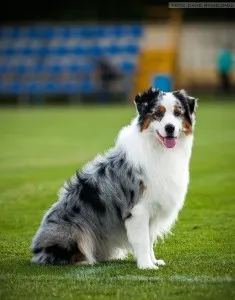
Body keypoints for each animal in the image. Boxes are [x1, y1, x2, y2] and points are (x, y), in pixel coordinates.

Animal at [30, 87, 196, 270]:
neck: (158, 149)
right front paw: (146, 265)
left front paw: (153, 261)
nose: (170, 128)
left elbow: (150, 239)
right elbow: (143, 240)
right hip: (70, 231)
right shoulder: (138, 209)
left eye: (177, 113)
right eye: (158, 114)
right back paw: (86, 261)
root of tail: (37, 251)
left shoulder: (153, 207)